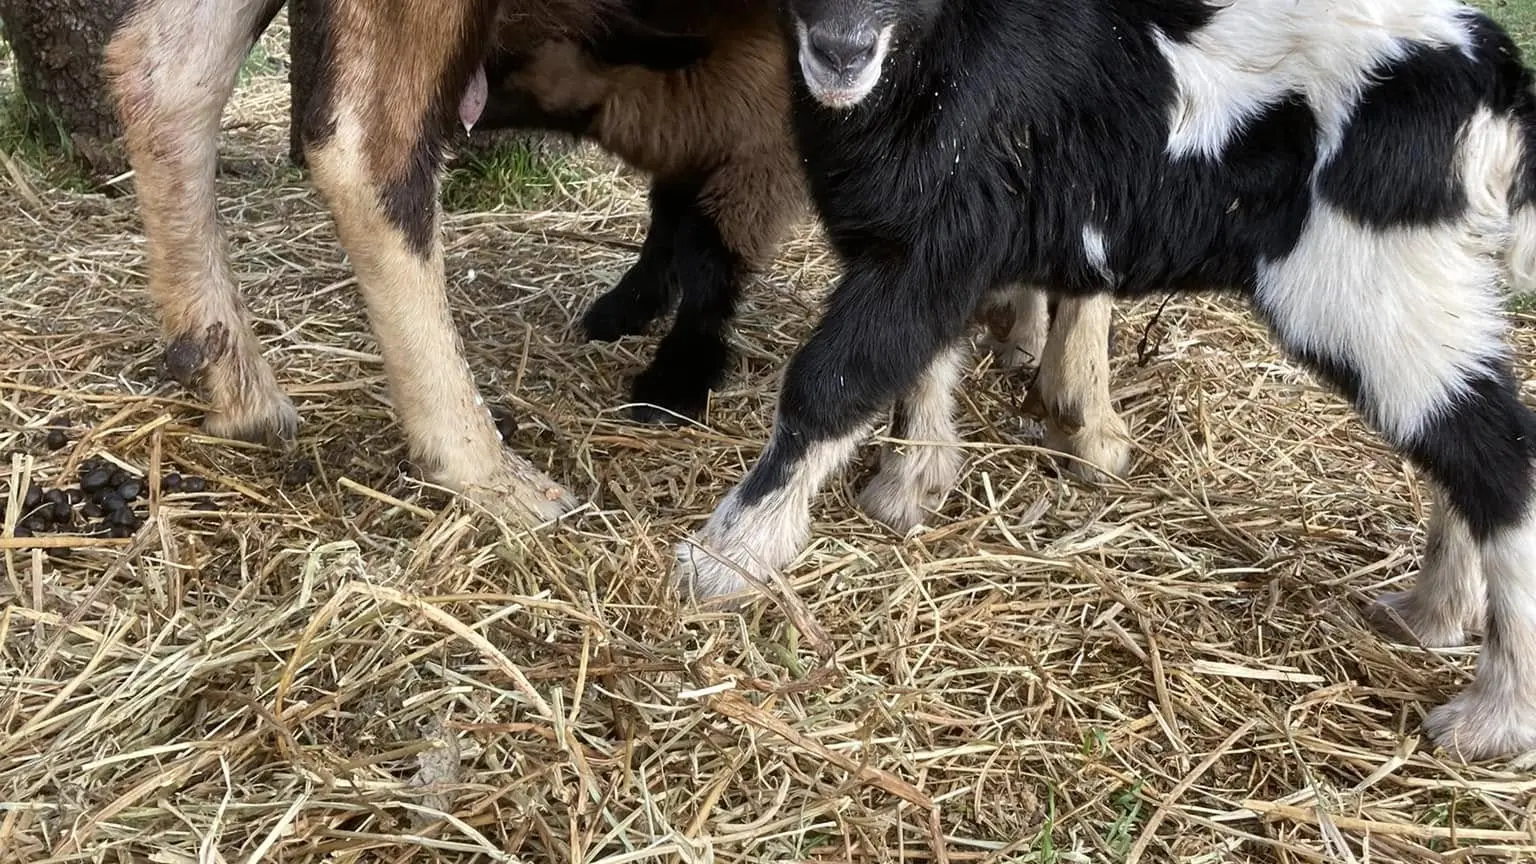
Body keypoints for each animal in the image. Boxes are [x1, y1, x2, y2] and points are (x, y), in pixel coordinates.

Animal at [673, 0, 1536, 762]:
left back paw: (1495, 714)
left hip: (1366, 280)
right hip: (1424, 285)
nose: (840, 53)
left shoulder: (932, 238)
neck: (937, 57)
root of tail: (1491, 71)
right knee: (1463, 440)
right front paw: (911, 484)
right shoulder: (947, 242)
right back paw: (1432, 614)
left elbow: (832, 383)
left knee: (1499, 457)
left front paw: (724, 559)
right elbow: (921, 361)